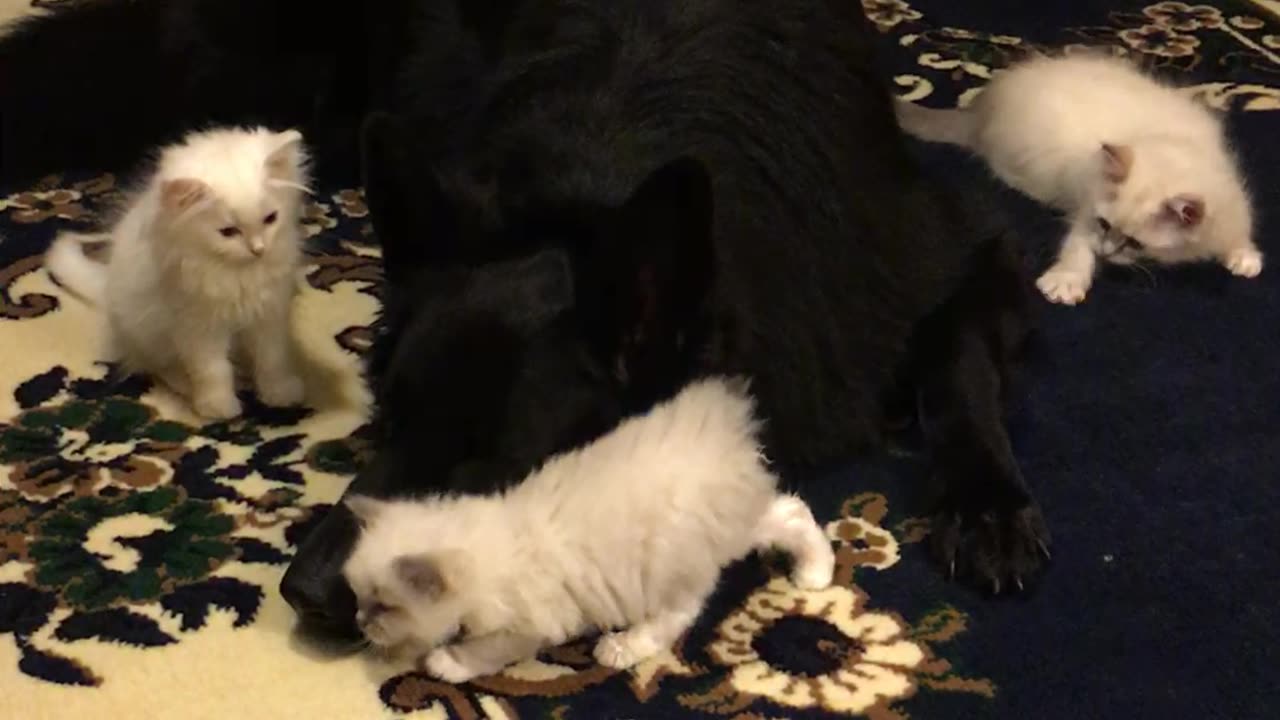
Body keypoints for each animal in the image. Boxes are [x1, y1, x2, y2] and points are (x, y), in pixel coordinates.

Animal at [46, 122, 309, 415]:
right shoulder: (198, 327)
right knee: (161, 368)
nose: (258, 249)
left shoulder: (269, 315)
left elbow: (272, 360)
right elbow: (213, 371)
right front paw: (220, 409)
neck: (238, 275)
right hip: (151, 332)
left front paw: (280, 394)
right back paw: (199, 387)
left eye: (270, 219)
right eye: (229, 232)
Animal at [345, 371, 834, 681]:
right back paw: (815, 573)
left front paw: (446, 663)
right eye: (361, 600)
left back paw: (620, 647)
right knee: (791, 510)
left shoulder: (528, 624)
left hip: (662, 562)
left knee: (678, 614)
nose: (359, 621)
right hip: (730, 527)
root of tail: (719, 430)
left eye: (384, 606)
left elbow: (484, 651)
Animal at [896, 51, 1264, 303]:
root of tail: (980, 108)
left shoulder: (1230, 197)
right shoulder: (1087, 208)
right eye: (1104, 226)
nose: (1106, 252)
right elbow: (1076, 246)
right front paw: (1065, 282)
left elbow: (1239, 230)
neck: (1172, 146)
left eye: (1135, 243)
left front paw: (1244, 257)